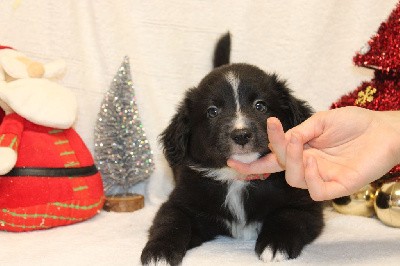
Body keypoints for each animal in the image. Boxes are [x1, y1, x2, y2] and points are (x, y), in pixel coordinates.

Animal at [142, 33, 324, 266]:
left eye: (260, 106)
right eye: (212, 111)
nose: (241, 134)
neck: (238, 179)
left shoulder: (305, 204)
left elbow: (288, 216)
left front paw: (275, 245)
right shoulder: (182, 202)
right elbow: (170, 221)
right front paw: (159, 253)